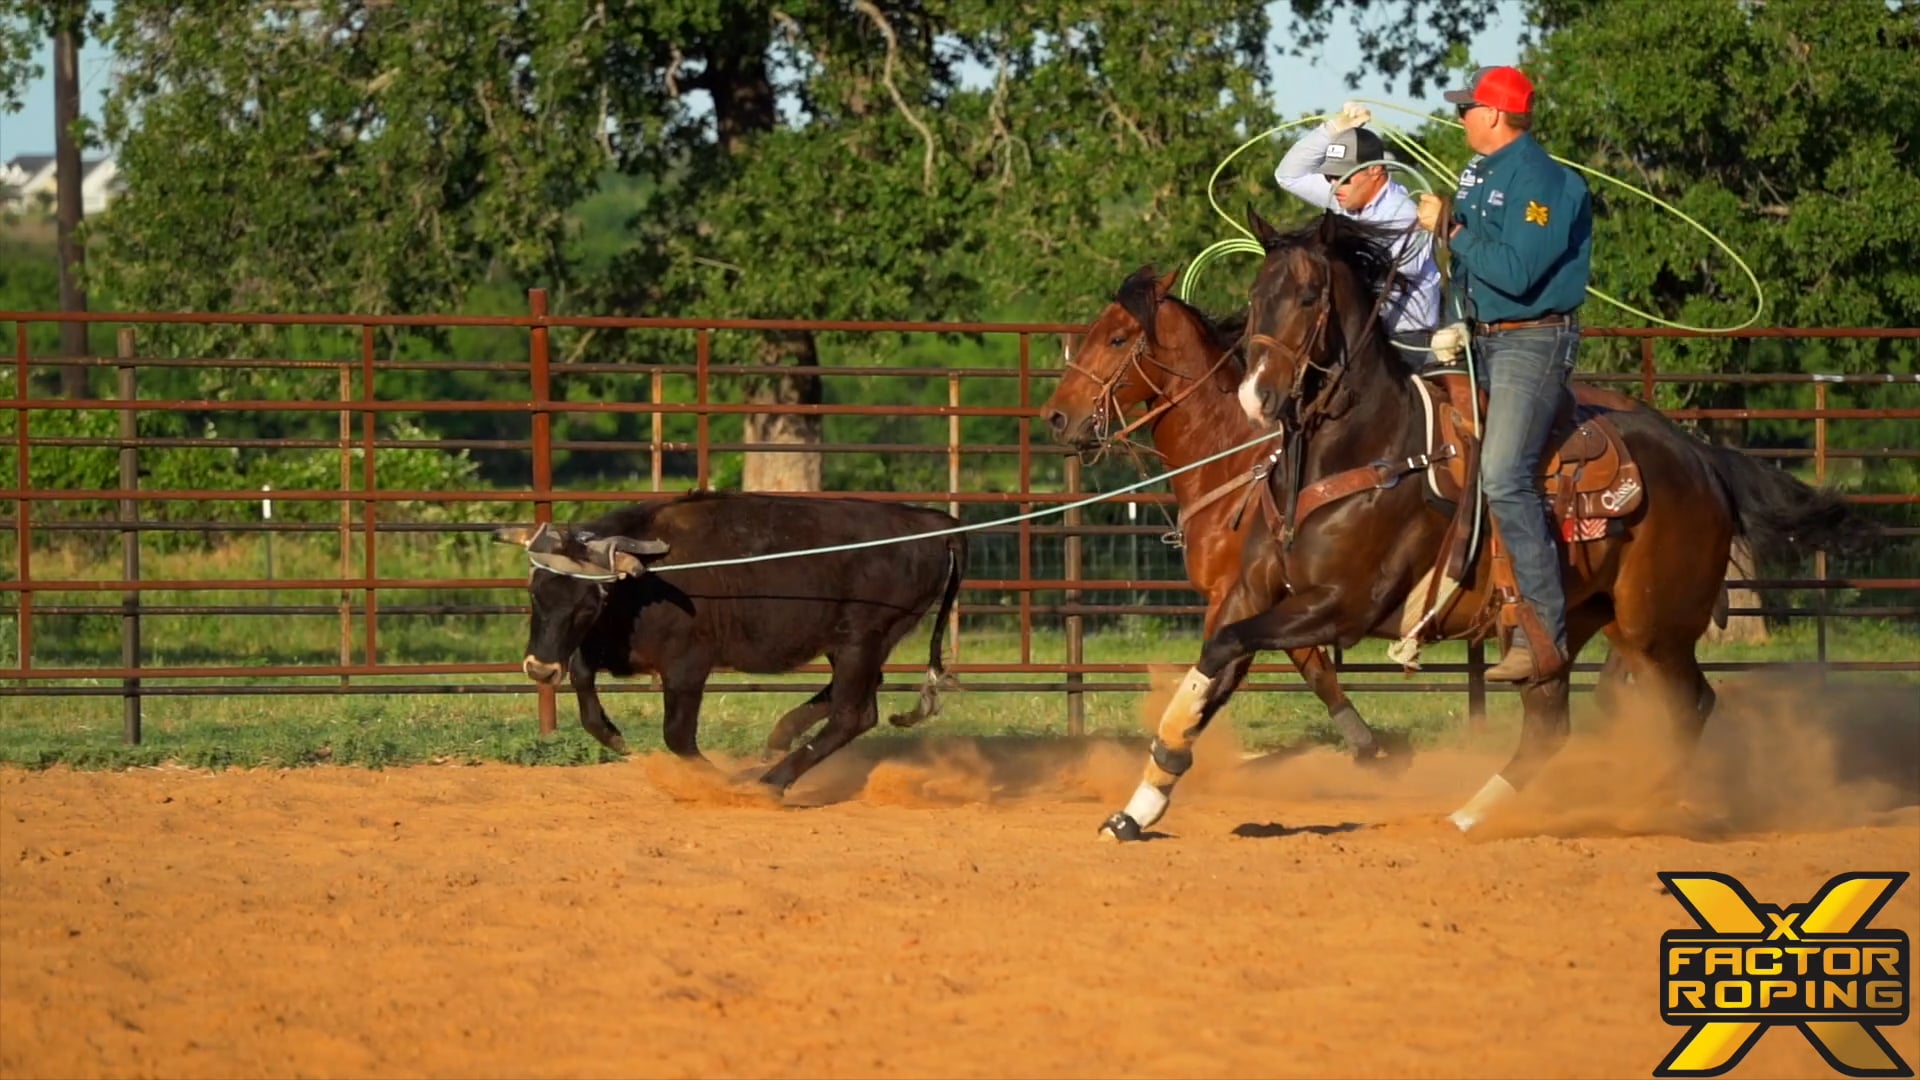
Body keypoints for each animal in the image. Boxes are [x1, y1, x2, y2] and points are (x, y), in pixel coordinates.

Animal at [1040, 265, 1406, 769]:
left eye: (1117, 338)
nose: (1055, 416)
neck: (1231, 463)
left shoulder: (1234, 595)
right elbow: (1314, 669)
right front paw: (1367, 749)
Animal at [1095, 210, 1868, 841]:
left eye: (1310, 297)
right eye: (1257, 296)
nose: (1259, 395)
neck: (1359, 451)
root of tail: (1700, 456)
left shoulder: (1340, 606)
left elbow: (1239, 650)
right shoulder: (1252, 592)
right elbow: (1216, 664)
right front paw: (1141, 804)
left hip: (1655, 626)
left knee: (1691, 706)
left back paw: (1641, 804)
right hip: (1568, 622)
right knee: (1552, 719)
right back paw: (1474, 815)